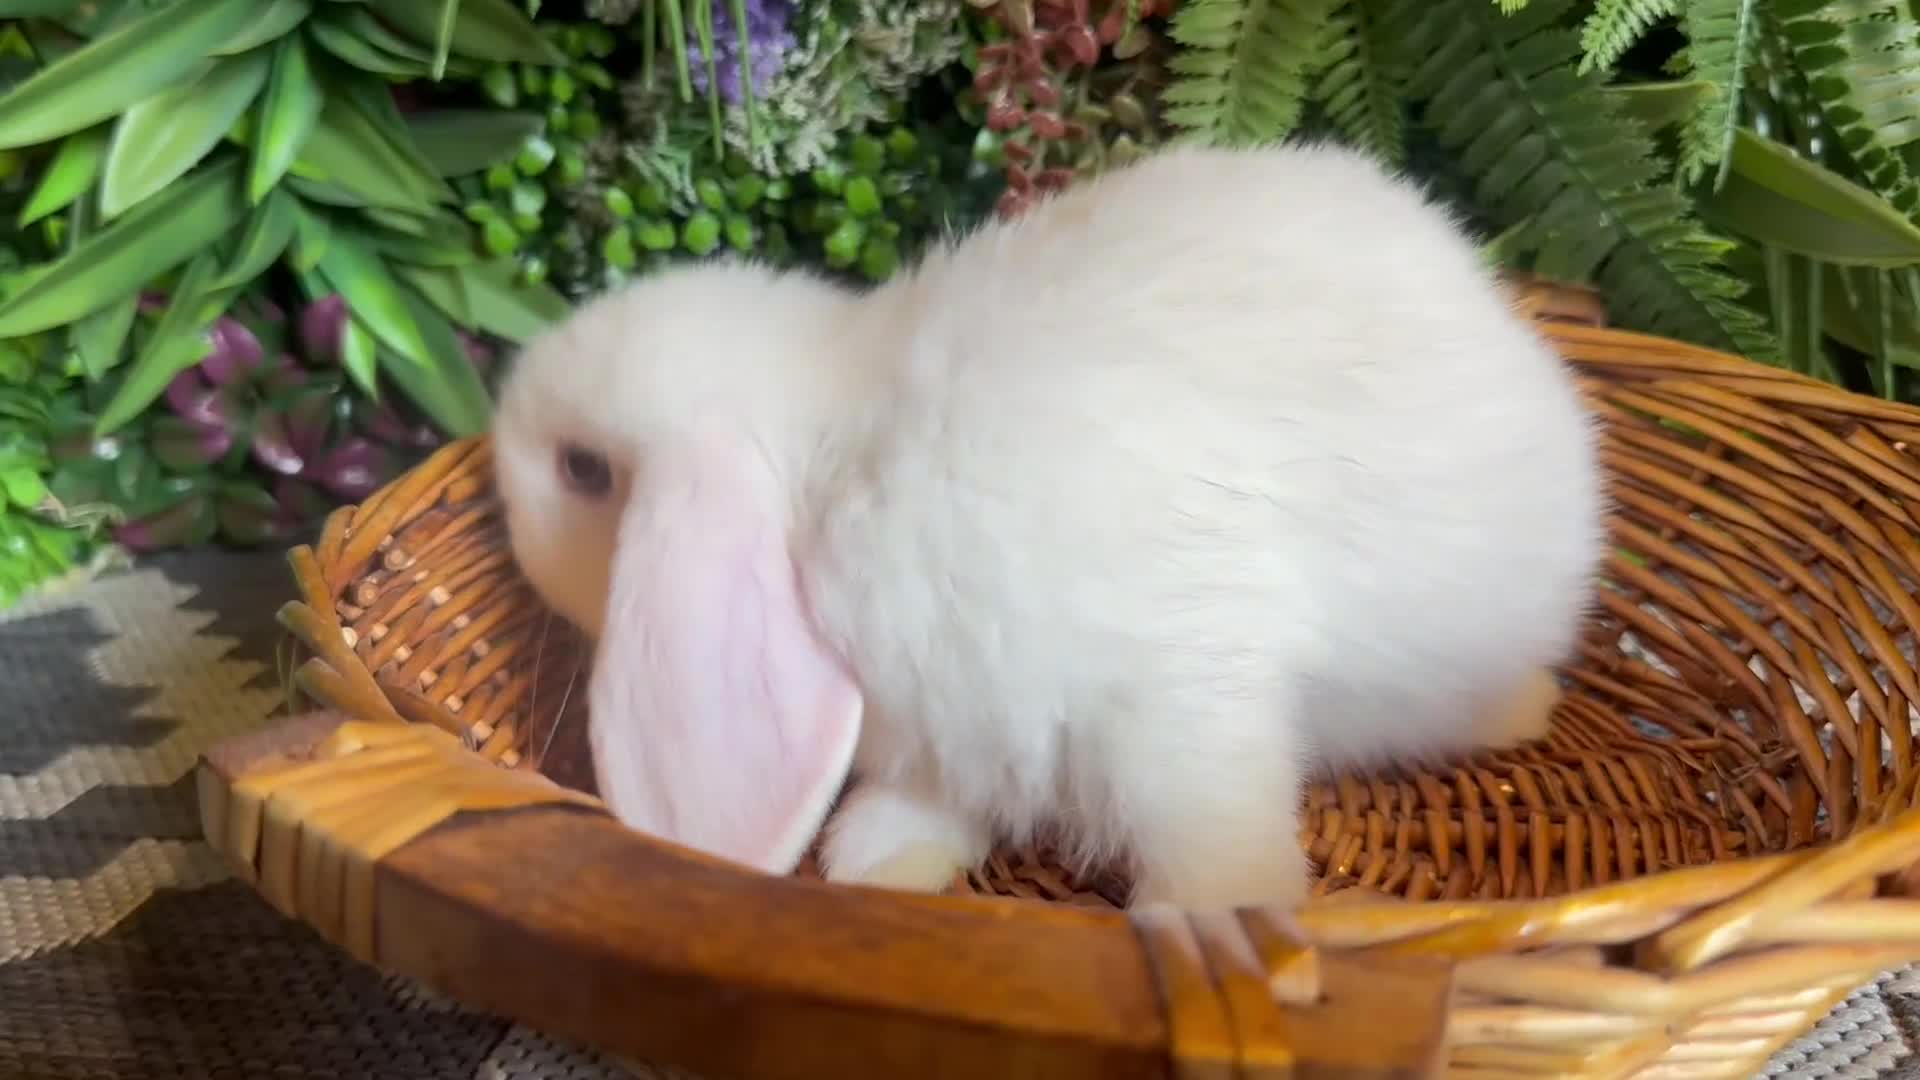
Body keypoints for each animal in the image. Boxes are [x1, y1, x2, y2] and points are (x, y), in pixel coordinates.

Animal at [490, 140, 1608, 913]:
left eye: (582, 469)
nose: (495, 439)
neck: (840, 467)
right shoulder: (963, 728)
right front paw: (881, 861)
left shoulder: (1177, 700)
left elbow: (1216, 842)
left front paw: (1231, 935)